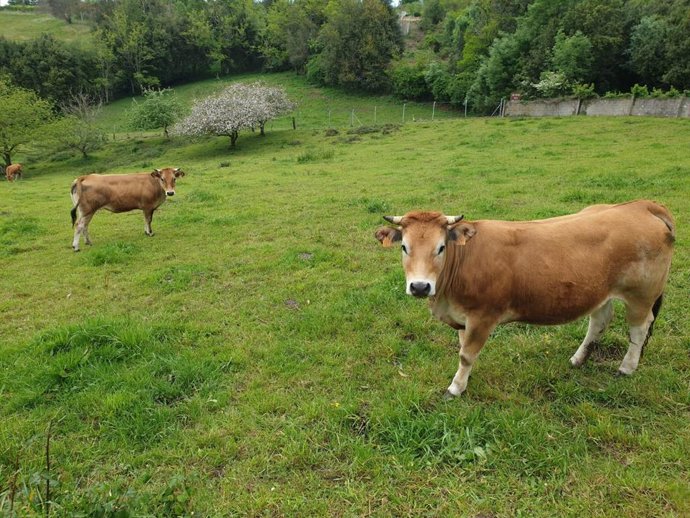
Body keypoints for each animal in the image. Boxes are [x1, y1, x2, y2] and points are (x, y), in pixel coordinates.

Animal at [375, 200, 675, 397]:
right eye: (404, 247)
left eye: (440, 247)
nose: (420, 287)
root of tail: (640, 205)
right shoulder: (463, 317)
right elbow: (463, 349)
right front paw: (464, 380)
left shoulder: (483, 317)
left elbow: (466, 355)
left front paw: (456, 387)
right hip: (600, 292)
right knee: (600, 321)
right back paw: (578, 359)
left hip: (641, 294)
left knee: (639, 328)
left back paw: (626, 367)